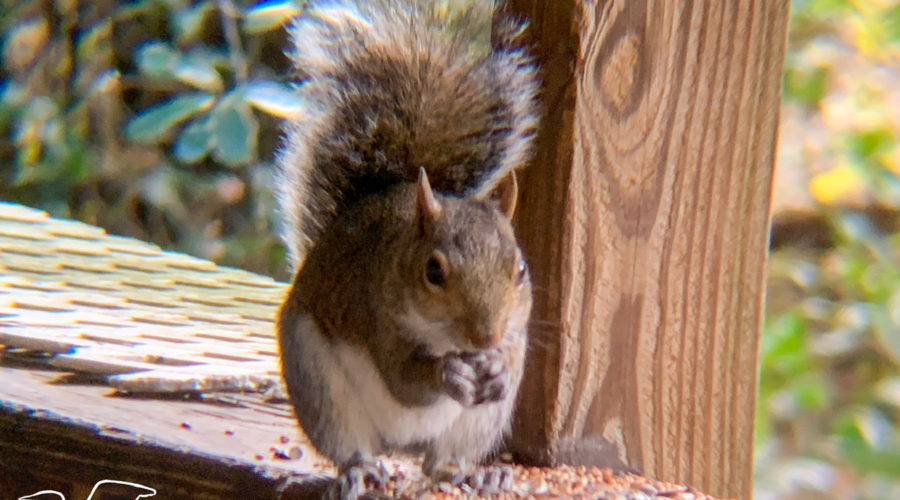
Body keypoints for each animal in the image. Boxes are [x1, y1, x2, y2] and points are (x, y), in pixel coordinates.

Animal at [278, 0, 536, 496]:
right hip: (318, 384)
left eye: (519, 270)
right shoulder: (376, 315)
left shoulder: (516, 333)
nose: (485, 338)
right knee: (351, 444)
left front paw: (495, 368)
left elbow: (508, 358)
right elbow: (404, 380)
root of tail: (402, 444)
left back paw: (473, 472)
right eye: (433, 272)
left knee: (440, 462)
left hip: (477, 424)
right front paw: (447, 373)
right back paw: (359, 470)